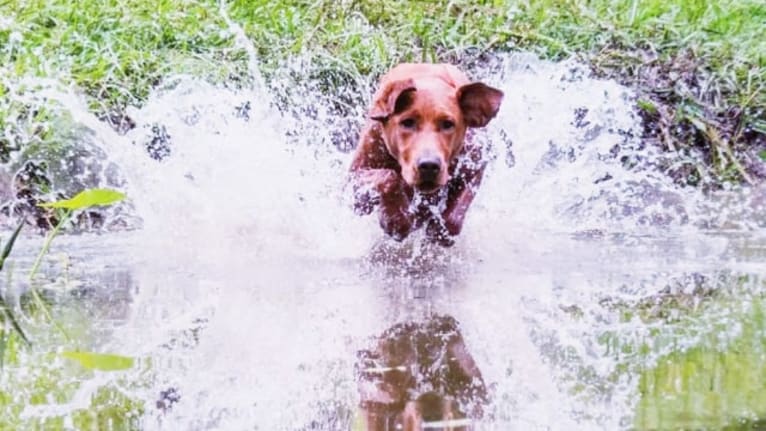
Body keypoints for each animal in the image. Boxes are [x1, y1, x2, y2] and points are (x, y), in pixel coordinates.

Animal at [348, 63, 504, 246]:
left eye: (448, 124)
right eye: (407, 122)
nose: (429, 166)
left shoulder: (475, 165)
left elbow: (455, 216)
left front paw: (440, 230)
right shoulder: (353, 184)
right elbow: (387, 177)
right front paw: (395, 220)